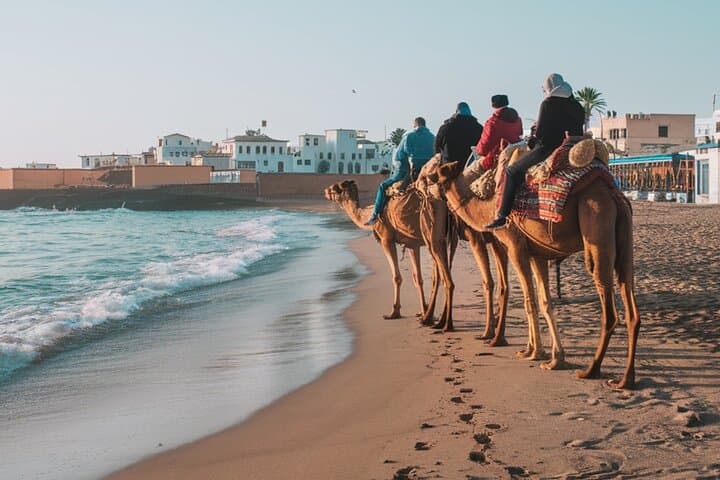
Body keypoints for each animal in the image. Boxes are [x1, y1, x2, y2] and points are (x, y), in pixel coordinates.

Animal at [324, 179, 508, 343]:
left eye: (336, 187)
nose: (325, 190)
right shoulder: (412, 243)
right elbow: (417, 278)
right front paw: (423, 310)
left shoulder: (386, 238)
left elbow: (397, 277)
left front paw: (394, 312)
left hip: (436, 234)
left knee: (449, 278)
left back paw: (448, 325)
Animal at [426, 145, 640, 389]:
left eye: (437, 173)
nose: (427, 185)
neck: (489, 207)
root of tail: (614, 195)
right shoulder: (537, 254)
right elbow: (545, 301)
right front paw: (552, 357)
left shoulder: (515, 246)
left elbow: (529, 301)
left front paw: (535, 353)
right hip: (624, 240)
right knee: (630, 304)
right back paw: (626, 379)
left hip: (597, 227)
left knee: (610, 310)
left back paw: (591, 370)